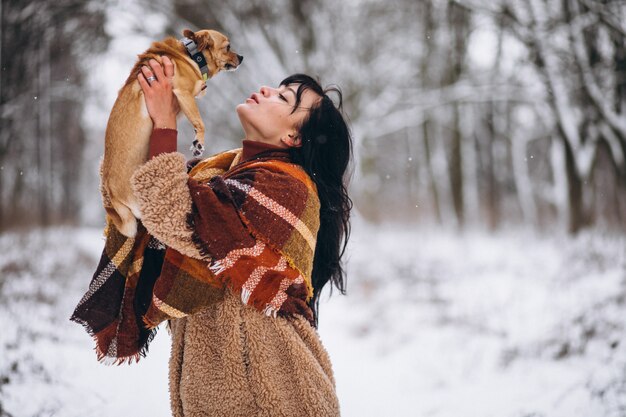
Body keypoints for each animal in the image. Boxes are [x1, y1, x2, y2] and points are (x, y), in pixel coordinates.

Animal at [100, 28, 241, 237]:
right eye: (228, 47)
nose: (241, 57)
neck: (191, 54)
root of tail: (113, 194)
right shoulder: (184, 94)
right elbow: (200, 122)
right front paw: (198, 142)